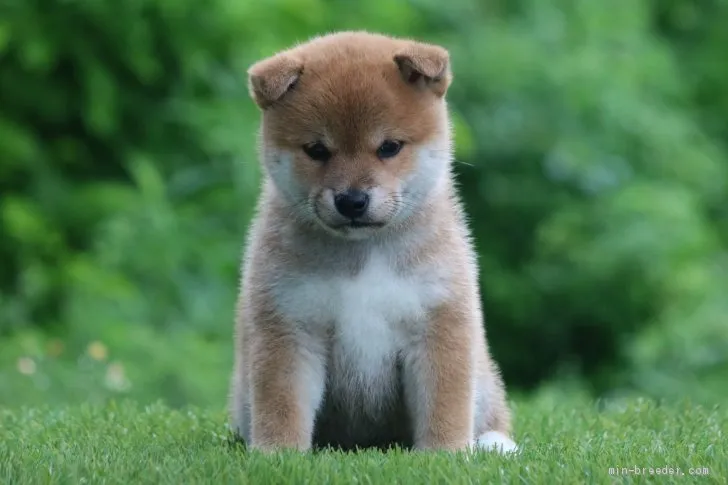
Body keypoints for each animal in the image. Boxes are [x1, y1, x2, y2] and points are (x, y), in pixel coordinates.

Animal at [228, 31, 516, 454]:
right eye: (317, 150)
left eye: (389, 147)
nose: (352, 201)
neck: (364, 254)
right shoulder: (289, 326)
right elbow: (282, 404)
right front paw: (277, 453)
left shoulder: (438, 322)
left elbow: (443, 402)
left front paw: (444, 452)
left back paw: (495, 444)